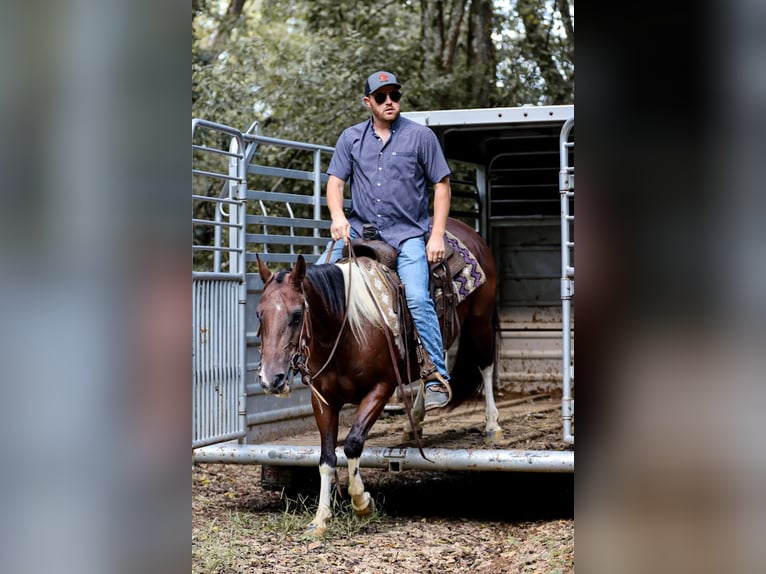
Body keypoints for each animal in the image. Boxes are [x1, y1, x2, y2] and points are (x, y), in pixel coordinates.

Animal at [255, 218, 500, 536]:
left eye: (297, 315)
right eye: (259, 314)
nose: (270, 379)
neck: (346, 328)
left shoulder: (380, 388)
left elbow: (352, 443)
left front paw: (362, 502)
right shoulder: (322, 398)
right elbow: (326, 457)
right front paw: (320, 519)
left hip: (480, 321)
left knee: (485, 365)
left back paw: (492, 425)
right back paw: (415, 420)